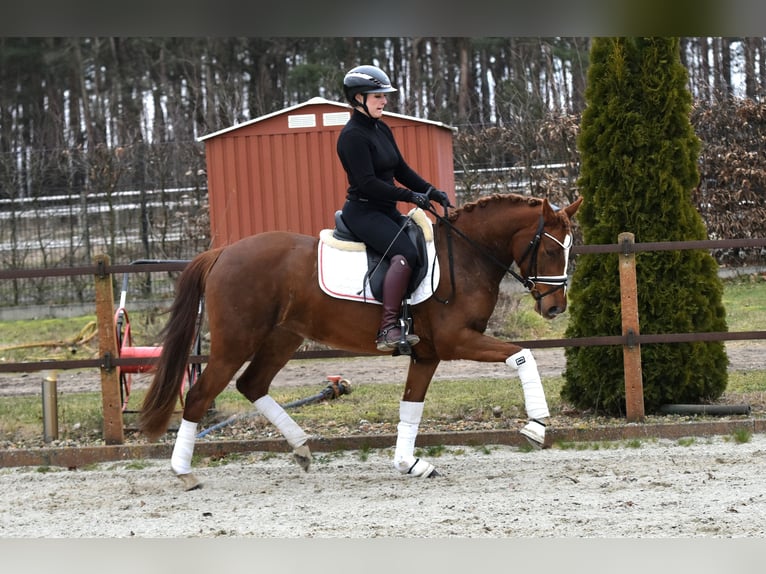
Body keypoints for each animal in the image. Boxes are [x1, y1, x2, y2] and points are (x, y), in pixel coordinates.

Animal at [140, 194, 584, 490]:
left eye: (569, 250)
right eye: (549, 249)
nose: (556, 308)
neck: (465, 255)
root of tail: (221, 252)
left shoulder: (427, 354)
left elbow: (411, 407)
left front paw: (409, 464)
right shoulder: (457, 341)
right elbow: (522, 355)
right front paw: (536, 426)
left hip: (283, 338)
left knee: (252, 384)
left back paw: (301, 448)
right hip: (236, 341)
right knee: (200, 395)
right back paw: (185, 473)